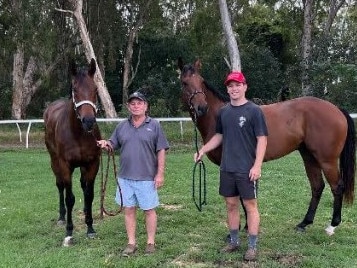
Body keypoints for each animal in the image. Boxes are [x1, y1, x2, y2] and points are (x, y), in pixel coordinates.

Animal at [44, 58, 101, 245]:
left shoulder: (92, 163)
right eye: (75, 89)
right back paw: (62, 218)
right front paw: (69, 232)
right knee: (60, 185)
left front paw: (90, 228)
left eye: (95, 89)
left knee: (83, 186)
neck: (78, 134)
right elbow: (69, 198)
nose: (89, 121)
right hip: (54, 161)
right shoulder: (65, 165)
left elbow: (89, 194)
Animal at [177, 58, 354, 234]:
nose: (202, 108)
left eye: (201, 81)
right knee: (317, 186)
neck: (218, 116)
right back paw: (304, 223)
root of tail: (336, 109)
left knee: (337, 187)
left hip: (327, 160)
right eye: (185, 83)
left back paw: (332, 225)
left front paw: (243, 227)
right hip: (309, 156)